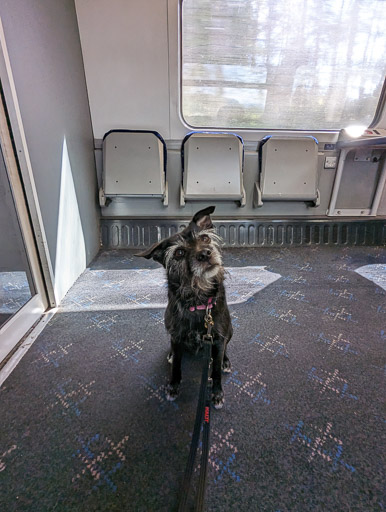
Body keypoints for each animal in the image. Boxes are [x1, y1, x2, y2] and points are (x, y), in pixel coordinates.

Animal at [136, 206, 232, 410]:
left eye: (205, 238)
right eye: (179, 252)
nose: (205, 254)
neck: (198, 300)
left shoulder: (218, 338)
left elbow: (216, 370)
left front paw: (217, 392)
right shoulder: (176, 336)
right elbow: (177, 367)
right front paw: (173, 386)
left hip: (230, 331)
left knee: (223, 351)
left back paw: (225, 361)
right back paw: (171, 355)